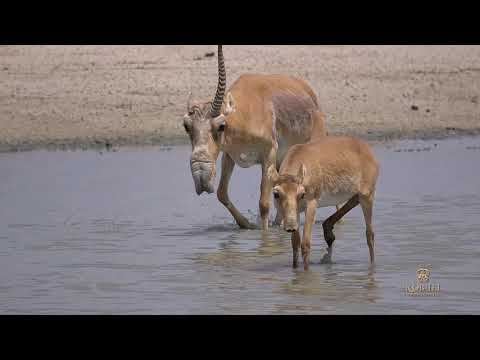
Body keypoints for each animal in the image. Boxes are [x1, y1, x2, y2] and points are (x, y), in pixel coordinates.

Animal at [184, 45, 326, 231]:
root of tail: (312, 99)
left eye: (221, 126)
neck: (244, 115)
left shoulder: (269, 155)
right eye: (186, 126)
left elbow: (264, 204)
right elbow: (222, 193)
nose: (201, 177)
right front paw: (247, 224)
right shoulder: (229, 155)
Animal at [266, 136, 378, 268]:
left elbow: (305, 244)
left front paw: (306, 271)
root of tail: (366, 149)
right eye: (276, 194)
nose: (290, 226)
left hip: (368, 196)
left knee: (370, 234)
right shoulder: (296, 212)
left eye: (302, 194)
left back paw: (372, 265)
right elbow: (295, 244)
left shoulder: (311, 204)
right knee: (354, 200)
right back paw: (328, 234)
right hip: (359, 194)